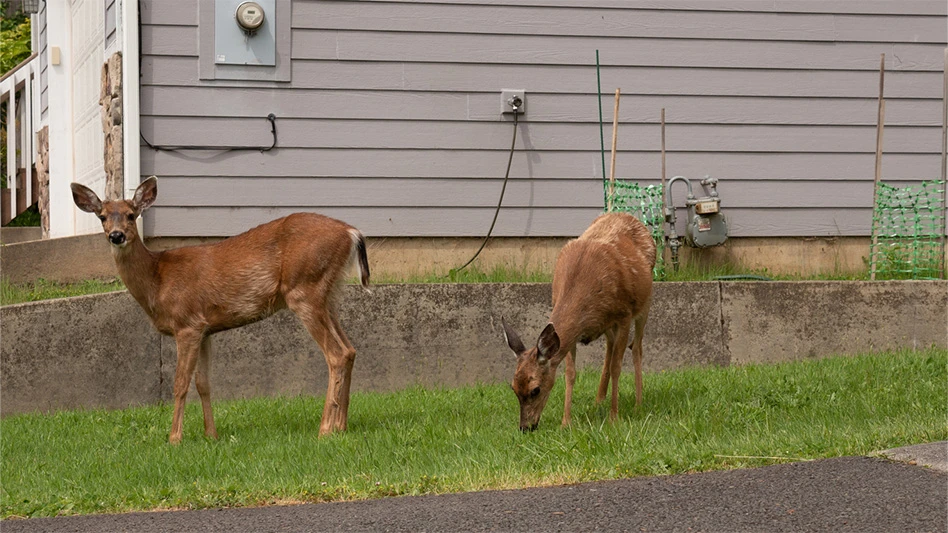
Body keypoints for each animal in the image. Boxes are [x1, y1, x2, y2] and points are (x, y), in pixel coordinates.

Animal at [70, 176, 370, 444]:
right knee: (350, 349)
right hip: (328, 293)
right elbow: (203, 383)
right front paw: (211, 435)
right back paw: (341, 426)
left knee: (336, 354)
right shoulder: (205, 329)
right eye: (102, 217)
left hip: (304, 289)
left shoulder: (187, 324)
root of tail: (352, 233)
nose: (116, 235)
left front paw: (174, 438)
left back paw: (325, 430)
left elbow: (180, 383)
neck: (158, 280)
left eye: (131, 215)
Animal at [502, 212, 655, 431]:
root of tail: (626, 215)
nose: (526, 427)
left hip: (645, 302)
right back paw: (599, 399)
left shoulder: (624, 314)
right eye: (513, 387)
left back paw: (638, 404)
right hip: (608, 324)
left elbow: (617, 367)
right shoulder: (573, 332)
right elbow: (570, 372)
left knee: (636, 347)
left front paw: (614, 418)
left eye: (535, 390)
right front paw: (566, 422)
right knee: (610, 346)